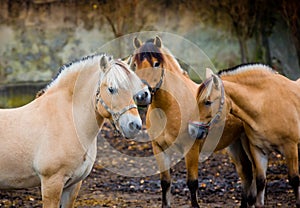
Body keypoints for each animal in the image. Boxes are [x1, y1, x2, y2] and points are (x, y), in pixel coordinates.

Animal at [131, 36, 253, 207]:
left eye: (156, 63)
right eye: (135, 64)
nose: (141, 96)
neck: (169, 109)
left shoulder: (191, 148)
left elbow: (192, 183)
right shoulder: (159, 148)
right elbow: (165, 182)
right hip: (235, 144)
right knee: (245, 173)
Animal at [190, 63, 300, 208]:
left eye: (207, 102)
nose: (191, 130)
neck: (265, 105)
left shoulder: (290, 147)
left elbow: (294, 179)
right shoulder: (258, 150)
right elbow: (260, 181)